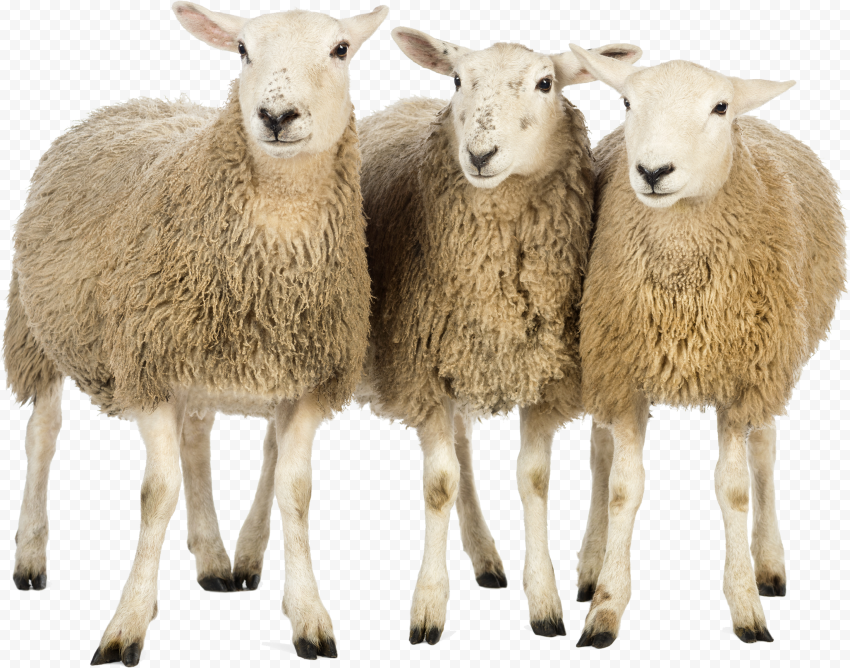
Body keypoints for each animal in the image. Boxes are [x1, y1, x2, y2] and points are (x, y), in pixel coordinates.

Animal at [4, 2, 388, 663]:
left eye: (340, 48)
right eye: (242, 49)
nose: (276, 115)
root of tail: (128, 103)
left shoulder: (307, 384)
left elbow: (295, 491)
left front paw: (309, 616)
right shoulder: (146, 367)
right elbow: (156, 494)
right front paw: (127, 623)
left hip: (200, 360)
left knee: (196, 439)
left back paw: (212, 558)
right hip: (37, 325)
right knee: (42, 435)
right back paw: (31, 555)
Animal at [354, 27, 641, 644]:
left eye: (545, 83)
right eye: (459, 79)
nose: (479, 155)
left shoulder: (545, 375)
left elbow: (534, 480)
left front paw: (545, 603)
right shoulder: (425, 371)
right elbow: (440, 483)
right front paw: (428, 607)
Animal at [567, 45, 845, 648]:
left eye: (719, 107)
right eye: (627, 101)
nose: (653, 171)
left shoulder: (742, 379)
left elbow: (734, 488)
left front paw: (746, 606)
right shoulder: (623, 371)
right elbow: (622, 486)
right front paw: (605, 606)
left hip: (772, 362)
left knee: (764, 451)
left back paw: (769, 566)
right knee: (599, 453)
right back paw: (590, 564)